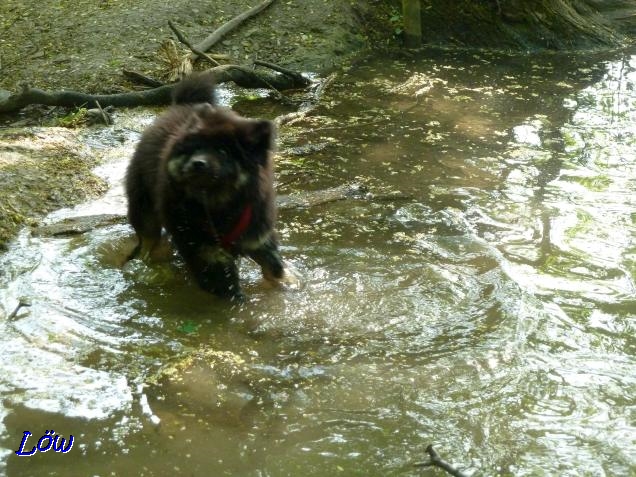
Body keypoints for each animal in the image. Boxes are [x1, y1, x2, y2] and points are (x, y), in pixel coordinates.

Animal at [124, 72, 284, 300]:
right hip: (146, 213)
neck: (221, 208)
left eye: (223, 152)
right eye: (195, 148)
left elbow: (275, 267)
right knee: (146, 242)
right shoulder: (204, 251)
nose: (198, 163)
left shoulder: (257, 235)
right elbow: (227, 287)